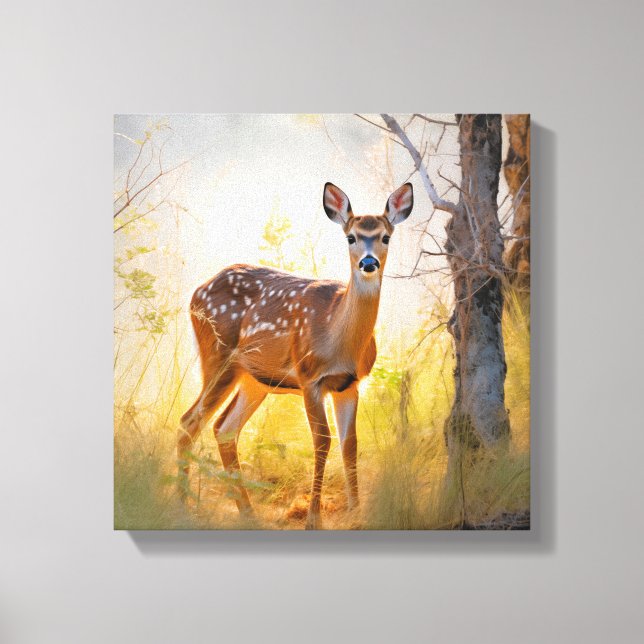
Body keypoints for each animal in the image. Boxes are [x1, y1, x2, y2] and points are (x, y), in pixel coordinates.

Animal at [178, 182, 414, 529]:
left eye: (385, 237)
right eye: (351, 237)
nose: (369, 263)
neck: (338, 338)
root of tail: (196, 292)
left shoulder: (350, 384)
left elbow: (350, 443)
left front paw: (356, 514)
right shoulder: (309, 377)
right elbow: (322, 441)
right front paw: (313, 519)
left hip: (255, 379)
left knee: (224, 427)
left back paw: (248, 514)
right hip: (218, 357)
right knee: (189, 421)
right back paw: (181, 506)